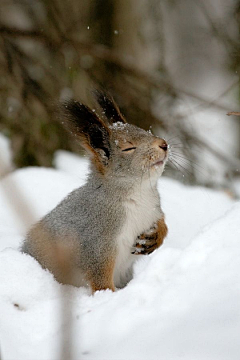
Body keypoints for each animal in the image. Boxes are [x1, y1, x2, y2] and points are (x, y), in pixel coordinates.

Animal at [21, 90, 169, 292]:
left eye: (145, 130)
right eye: (128, 148)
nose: (164, 144)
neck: (139, 193)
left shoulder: (153, 210)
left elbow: (162, 222)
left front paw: (156, 236)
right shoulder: (97, 241)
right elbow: (100, 276)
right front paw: (108, 295)